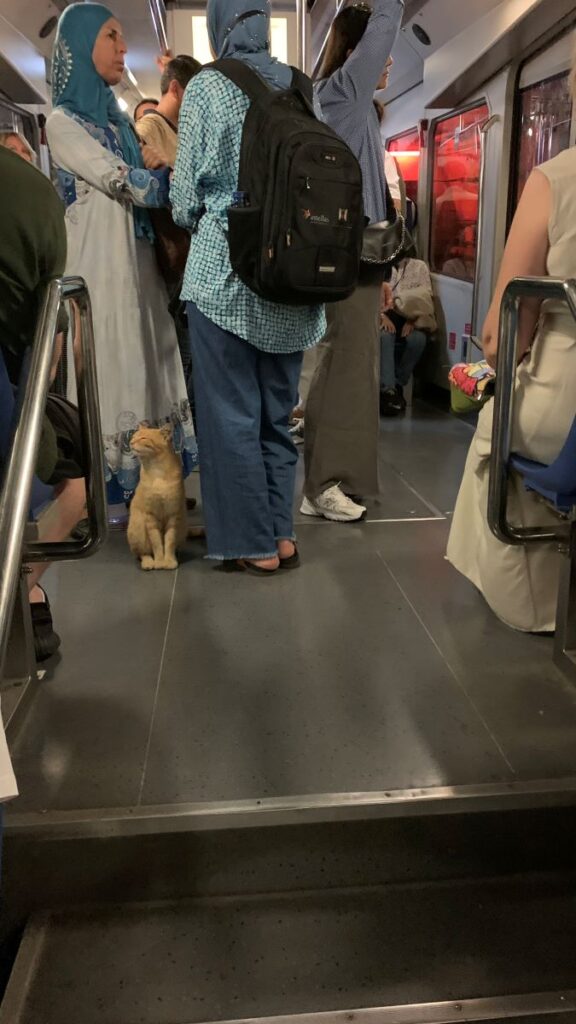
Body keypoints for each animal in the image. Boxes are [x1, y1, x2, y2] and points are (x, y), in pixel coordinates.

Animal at [127, 423, 186, 569]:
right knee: (142, 553)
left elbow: (169, 541)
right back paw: (149, 562)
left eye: (143, 438)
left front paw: (169, 560)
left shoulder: (173, 515)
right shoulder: (150, 516)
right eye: (133, 436)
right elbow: (157, 543)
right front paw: (160, 561)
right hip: (138, 526)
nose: (131, 443)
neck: (157, 472)